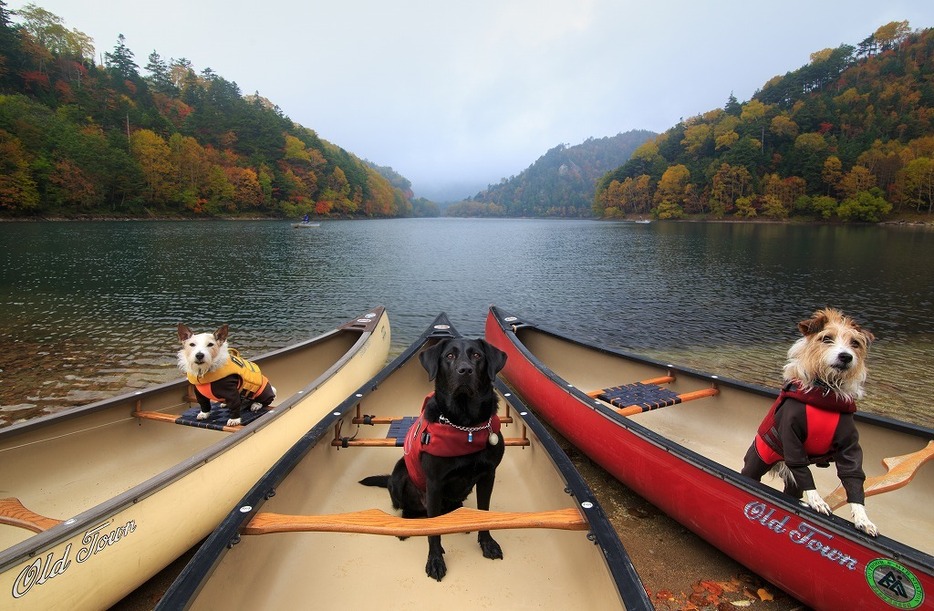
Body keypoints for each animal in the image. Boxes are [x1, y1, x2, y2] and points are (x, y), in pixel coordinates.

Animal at [362, 338, 508, 580]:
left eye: (477, 355)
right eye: (449, 356)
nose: (465, 370)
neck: (465, 425)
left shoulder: (488, 475)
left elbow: (484, 512)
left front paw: (487, 543)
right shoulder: (434, 483)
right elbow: (434, 531)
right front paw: (435, 560)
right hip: (400, 474)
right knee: (406, 508)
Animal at [744, 310, 876, 536]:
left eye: (855, 343)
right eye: (827, 338)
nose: (846, 356)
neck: (825, 393)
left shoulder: (849, 446)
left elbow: (853, 477)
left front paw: (863, 518)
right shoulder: (791, 438)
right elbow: (805, 474)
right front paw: (817, 501)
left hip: (792, 483)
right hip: (756, 461)